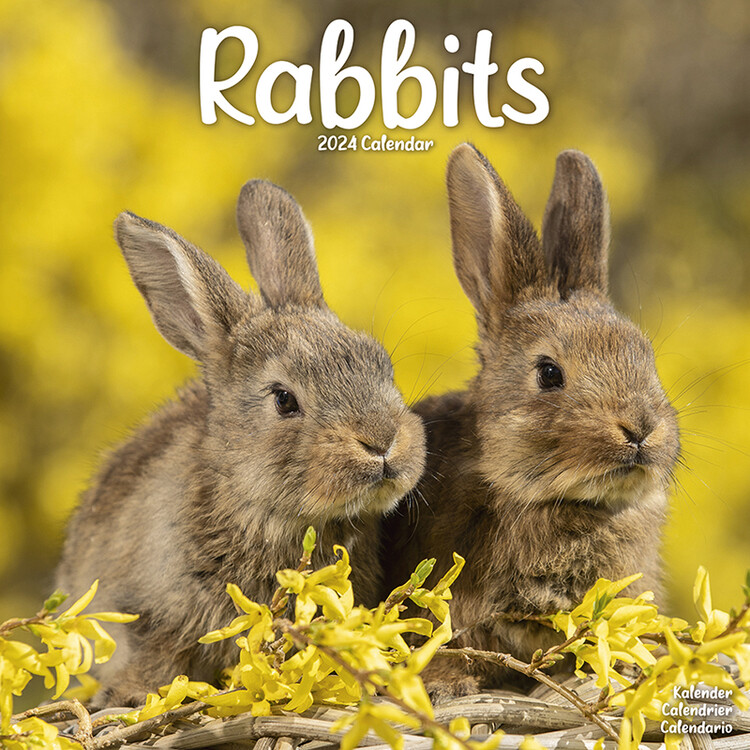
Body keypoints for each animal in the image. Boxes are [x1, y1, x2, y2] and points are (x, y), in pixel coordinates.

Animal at [56, 180, 426, 707]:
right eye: (284, 400)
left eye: (382, 364)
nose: (382, 441)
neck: (263, 508)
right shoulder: (148, 616)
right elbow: (153, 656)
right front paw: (130, 697)